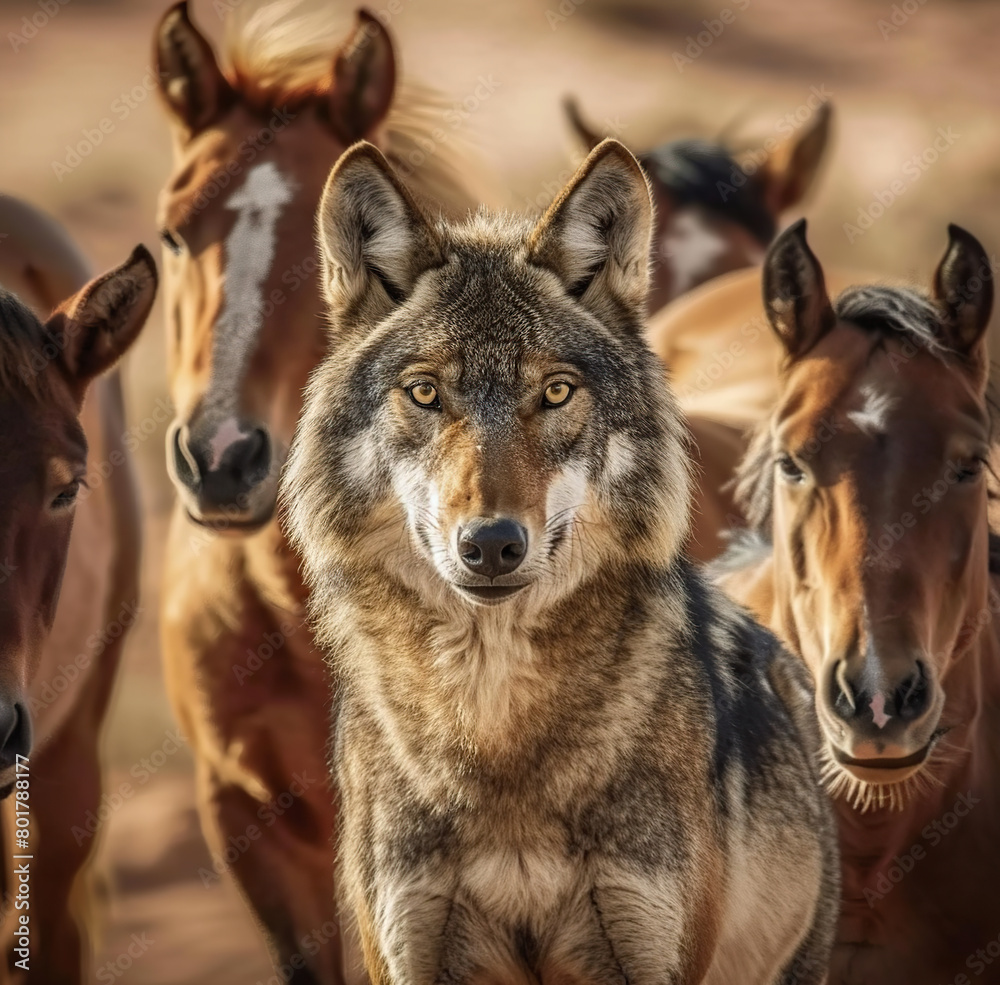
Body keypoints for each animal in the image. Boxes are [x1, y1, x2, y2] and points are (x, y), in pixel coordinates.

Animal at [282, 138, 838, 984]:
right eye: (425, 393)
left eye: (554, 392)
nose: (491, 542)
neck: (494, 727)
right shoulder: (413, 948)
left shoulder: (644, 945)